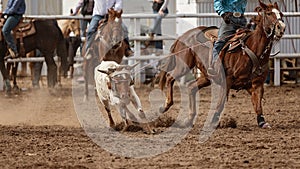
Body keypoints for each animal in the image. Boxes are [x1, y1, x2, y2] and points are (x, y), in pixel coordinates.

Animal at [157, 0, 286, 129]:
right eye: (268, 13)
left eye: (281, 14)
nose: (281, 27)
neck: (253, 49)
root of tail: (182, 36)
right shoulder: (227, 80)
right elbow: (220, 104)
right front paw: (214, 121)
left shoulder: (257, 84)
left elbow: (258, 105)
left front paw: (262, 122)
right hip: (183, 65)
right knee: (170, 77)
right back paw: (165, 105)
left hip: (206, 76)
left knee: (191, 87)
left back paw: (189, 119)